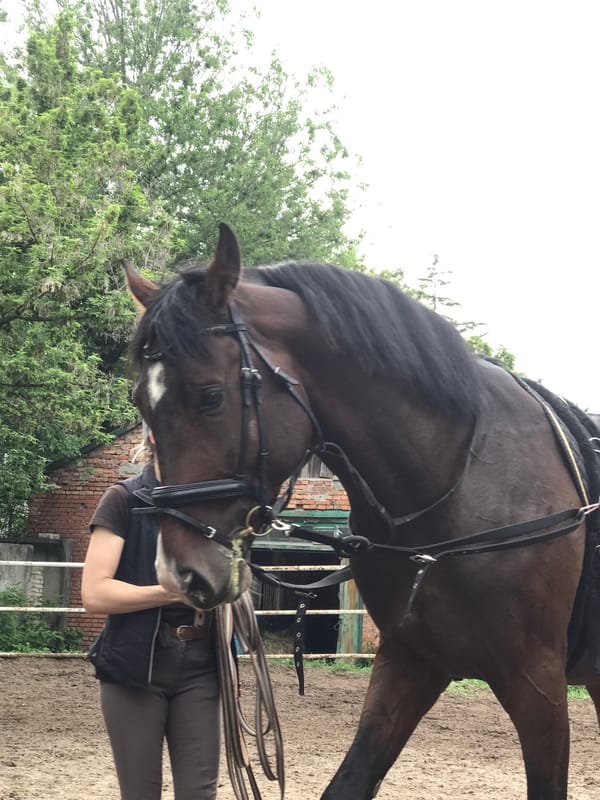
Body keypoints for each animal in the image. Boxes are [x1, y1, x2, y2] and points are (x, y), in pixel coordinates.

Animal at [124, 223, 600, 800]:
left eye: (210, 396)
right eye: (142, 403)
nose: (181, 574)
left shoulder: (538, 685)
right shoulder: (410, 662)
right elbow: (349, 781)